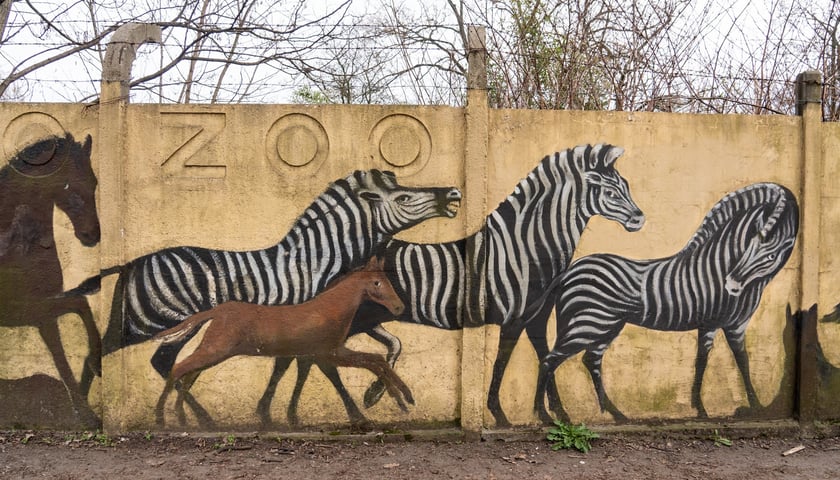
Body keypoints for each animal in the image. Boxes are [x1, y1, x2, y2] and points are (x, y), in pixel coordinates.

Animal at [73, 169, 462, 424]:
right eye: (403, 197)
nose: (453, 194)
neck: (315, 260)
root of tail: (131, 262)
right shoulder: (307, 325)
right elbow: (310, 366)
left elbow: (378, 349)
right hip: (150, 322)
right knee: (118, 357)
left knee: (149, 360)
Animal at [266, 143, 648, 428]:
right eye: (611, 191)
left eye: (627, 186)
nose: (639, 219)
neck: (525, 247)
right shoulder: (513, 317)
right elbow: (502, 362)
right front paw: (501, 415)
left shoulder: (536, 317)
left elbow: (546, 358)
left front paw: (554, 414)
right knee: (312, 357)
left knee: (312, 357)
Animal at [536, 182, 796, 422]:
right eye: (749, 245)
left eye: (771, 255)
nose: (731, 285)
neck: (719, 265)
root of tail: (570, 271)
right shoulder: (722, 324)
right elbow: (729, 362)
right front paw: (745, 407)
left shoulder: (723, 325)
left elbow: (720, 361)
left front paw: (711, 408)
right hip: (588, 324)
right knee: (549, 360)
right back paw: (547, 415)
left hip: (607, 326)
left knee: (590, 360)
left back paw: (616, 414)